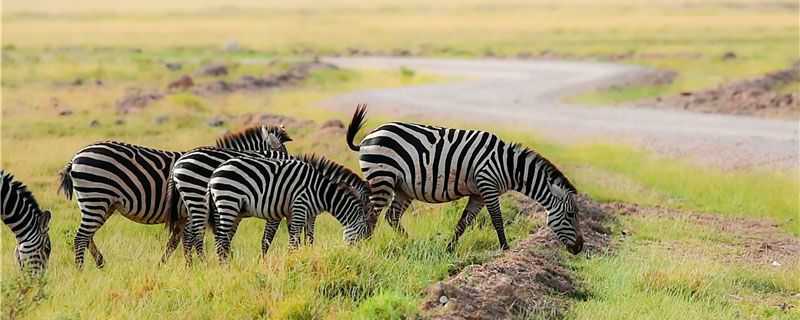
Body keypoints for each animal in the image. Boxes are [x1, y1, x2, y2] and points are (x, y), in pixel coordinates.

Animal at [58, 124, 290, 268]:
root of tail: (76, 156)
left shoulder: (184, 217)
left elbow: (174, 243)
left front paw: (164, 267)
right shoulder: (195, 212)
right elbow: (196, 240)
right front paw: (200, 266)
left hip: (103, 204)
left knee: (87, 236)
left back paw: (100, 263)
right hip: (96, 198)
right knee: (81, 237)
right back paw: (81, 271)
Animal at [209, 155, 378, 262]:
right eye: (364, 234)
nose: (357, 255)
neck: (320, 191)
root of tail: (215, 172)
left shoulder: (309, 214)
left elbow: (308, 239)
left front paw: (303, 257)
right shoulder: (299, 207)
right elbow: (294, 240)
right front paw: (292, 263)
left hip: (231, 209)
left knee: (224, 239)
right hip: (229, 201)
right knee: (221, 240)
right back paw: (225, 267)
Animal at [346, 106, 584, 254]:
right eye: (571, 215)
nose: (580, 248)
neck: (509, 166)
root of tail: (368, 136)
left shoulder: (478, 193)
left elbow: (463, 223)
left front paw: (449, 248)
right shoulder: (488, 184)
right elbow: (497, 219)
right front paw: (505, 248)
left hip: (402, 188)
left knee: (391, 216)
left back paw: (412, 243)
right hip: (382, 178)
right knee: (371, 215)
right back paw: (364, 246)